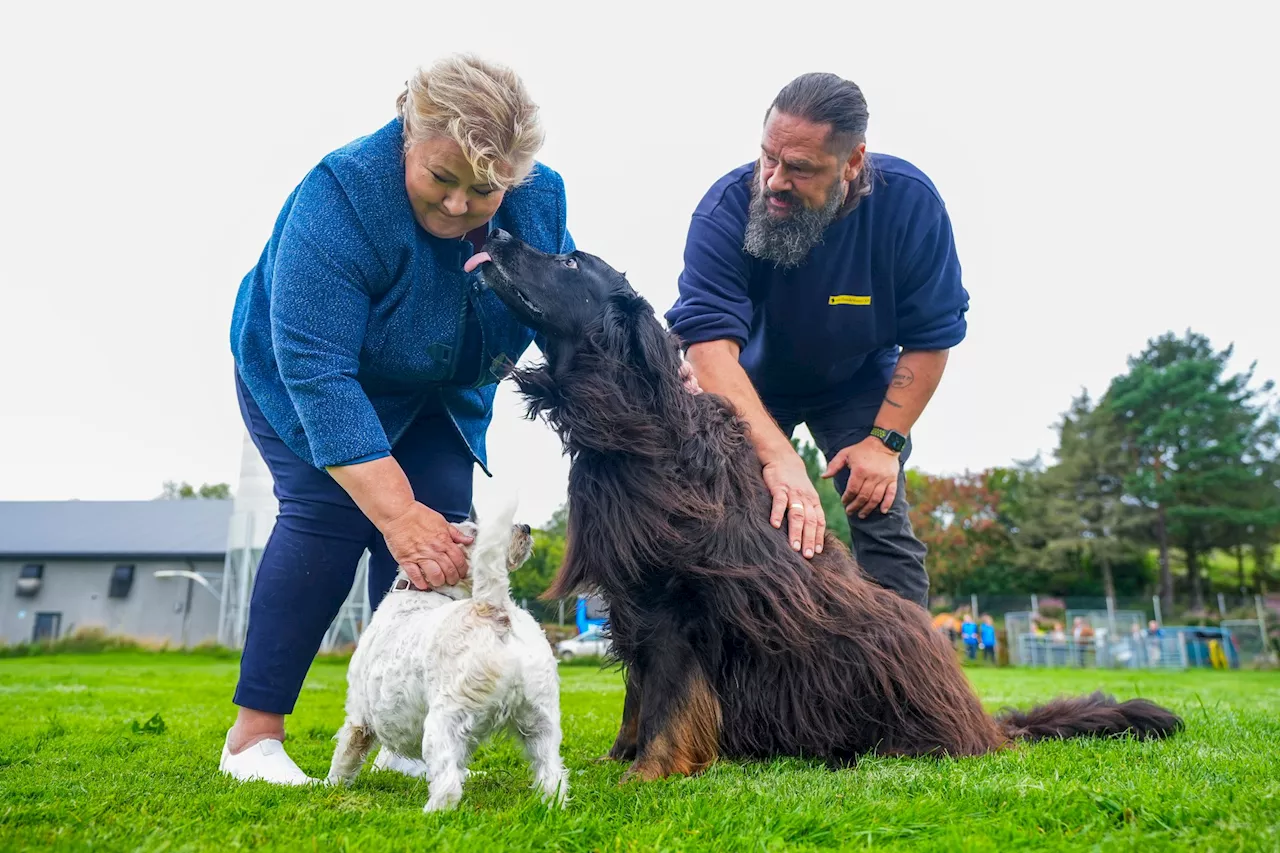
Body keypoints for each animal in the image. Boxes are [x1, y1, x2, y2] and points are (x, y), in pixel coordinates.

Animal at [327, 494, 568, 809]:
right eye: (473, 531)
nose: (526, 528)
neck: (423, 594)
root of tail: (493, 609)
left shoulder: (359, 717)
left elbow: (344, 758)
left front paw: (328, 787)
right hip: (540, 717)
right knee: (552, 774)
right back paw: (549, 806)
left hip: (443, 722)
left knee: (449, 783)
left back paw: (431, 812)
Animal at [476, 229, 1182, 778]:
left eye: (571, 263)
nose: (496, 233)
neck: (633, 424)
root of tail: (983, 720)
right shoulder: (631, 599)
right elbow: (638, 691)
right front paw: (619, 758)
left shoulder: (675, 601)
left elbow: (670, 698)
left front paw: (649, 772)